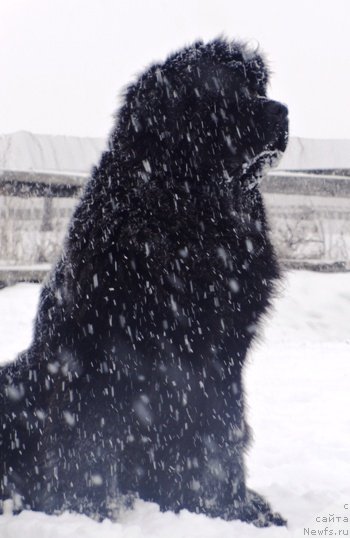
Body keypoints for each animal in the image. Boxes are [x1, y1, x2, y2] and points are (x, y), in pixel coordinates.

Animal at [0, 37, 288, 524]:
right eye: (228, 91)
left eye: (259, 87)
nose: (283, 111)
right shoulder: (99, 354)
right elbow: (89, 438)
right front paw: (88, 510)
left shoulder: (222, 355)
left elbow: (221, 432)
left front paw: (231, 506)